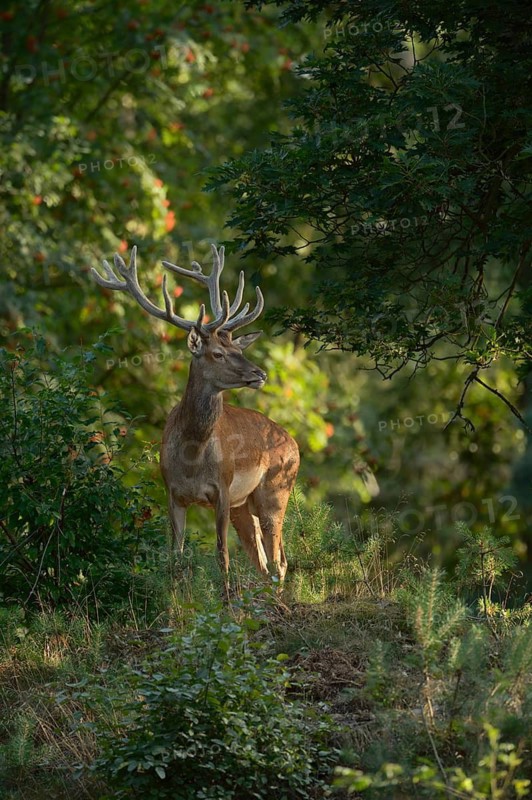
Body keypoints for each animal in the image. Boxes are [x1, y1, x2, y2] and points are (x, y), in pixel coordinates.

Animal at [91, 244, 300, 588]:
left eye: (239, 350)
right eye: (218, 353)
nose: (260, 374)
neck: (191, 455)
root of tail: (294, 443)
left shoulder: (222, 489)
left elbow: (222, 556)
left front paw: (226, 597)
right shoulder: (173, 493)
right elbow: (175, 558)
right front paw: (177, 598)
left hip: (276, 489)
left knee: (279, 560)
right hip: (247, 504)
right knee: (263, 560)